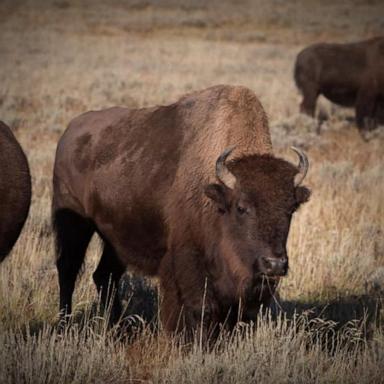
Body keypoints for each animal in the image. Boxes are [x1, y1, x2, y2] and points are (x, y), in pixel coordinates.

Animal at [54, 85, 310, 336]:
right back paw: (64, 326)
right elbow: (199, 309)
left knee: (105, 275)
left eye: (291, 209)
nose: (274, 264)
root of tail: (70, 132)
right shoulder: (187, 262)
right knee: (68, 270)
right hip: (74, 223)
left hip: (115, 238)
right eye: (241, 207)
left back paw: (117, 328)